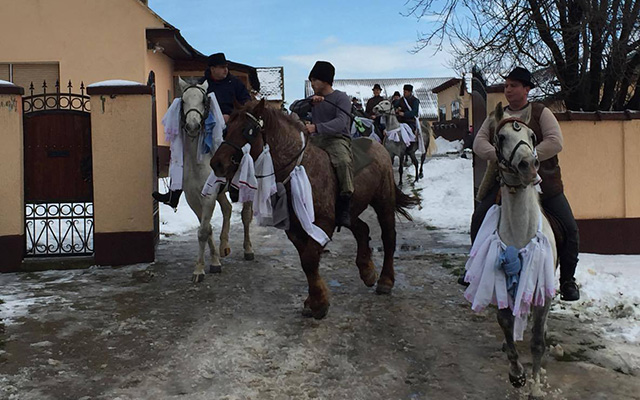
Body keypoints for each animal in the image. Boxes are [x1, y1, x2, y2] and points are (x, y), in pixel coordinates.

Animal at [178, 78, 255, 282]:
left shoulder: (209, 197)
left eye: (203, 101)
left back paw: (248, 250)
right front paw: (213, 261)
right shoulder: (193, 198)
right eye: (183, 101)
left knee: (246, 216)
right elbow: (207, 228)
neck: (199, 161)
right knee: (227, 209)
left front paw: (199, 269)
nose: (193, 126)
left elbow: (204, 231)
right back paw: (224, 247)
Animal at [210, 97, 420, 318]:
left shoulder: (323, 222)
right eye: (226, 129)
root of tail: (379, 147)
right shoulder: (294, 227)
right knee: (362, 229)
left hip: (383, 202)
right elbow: (306, 259)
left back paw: (385, 280)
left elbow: (310, 259)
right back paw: (367, 271)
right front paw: (313, 300)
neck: (298, 168)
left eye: (248, 130)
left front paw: (319, 304)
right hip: (350, 211)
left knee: (388, 236)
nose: (217, 164)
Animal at [462, 104, 556, 400]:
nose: (529, 166)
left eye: (533, 136)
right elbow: (504, 321)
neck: (520, 231)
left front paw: (535, 387)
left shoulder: (541, 287)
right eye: (501, 137)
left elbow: (537, 340)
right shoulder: (500, 278)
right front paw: (516, 374)